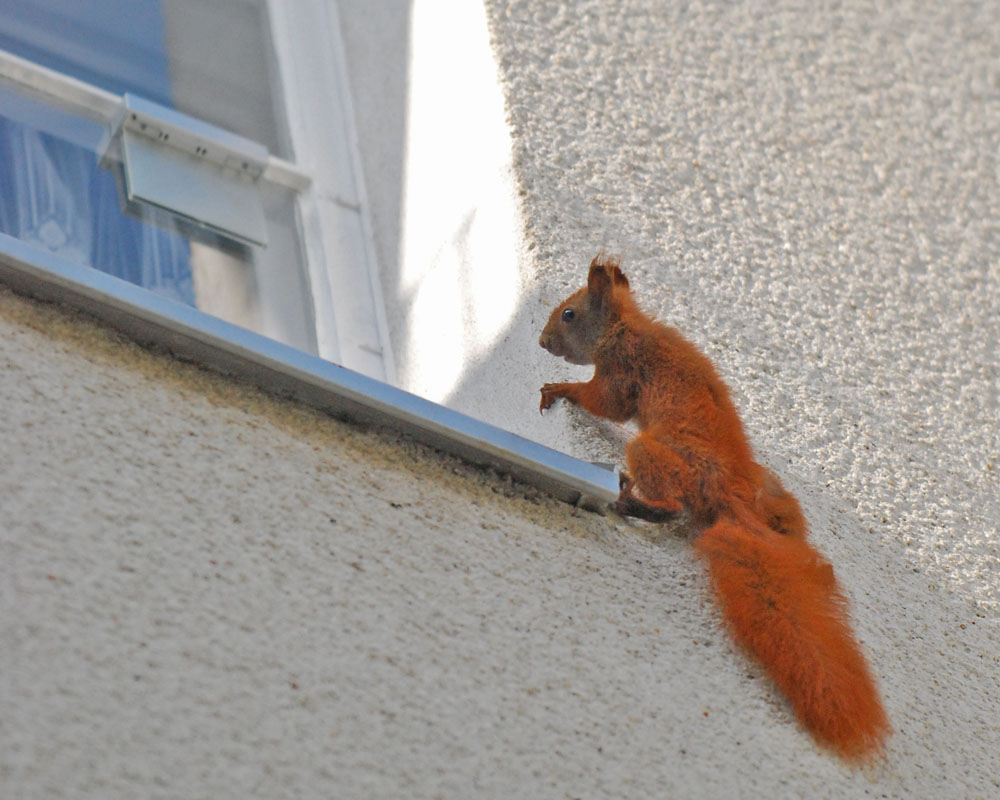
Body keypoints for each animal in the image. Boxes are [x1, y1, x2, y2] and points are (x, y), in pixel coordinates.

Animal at [540, 253, 892, 760]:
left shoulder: (623, 369)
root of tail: (734, 503)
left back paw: (630, 502)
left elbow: (603, 402)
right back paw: (813, 560)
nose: (541, 341)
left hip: (656, 455)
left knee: (671, 505)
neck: (626, 327)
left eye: (568, 314)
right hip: (773, 495)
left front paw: (559, 388)